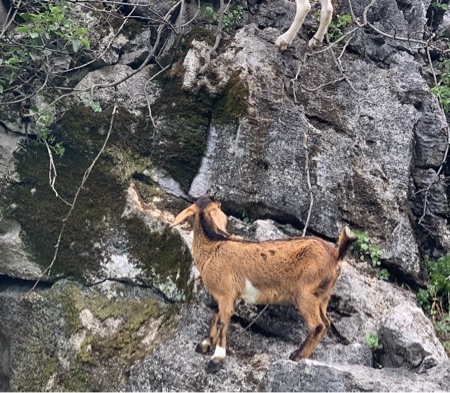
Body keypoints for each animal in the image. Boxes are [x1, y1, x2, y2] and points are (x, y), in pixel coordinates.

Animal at [171, 194, 356, 372]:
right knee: (326, 323)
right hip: (322, 295)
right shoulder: (230, 295)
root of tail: (335, 254)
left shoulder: (226, 293)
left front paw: (215, 360)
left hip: (305, 292)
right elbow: (217, 316)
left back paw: (296, 356)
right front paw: (204, 345)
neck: (213, 248)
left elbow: (223, 322)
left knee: (317, 325)